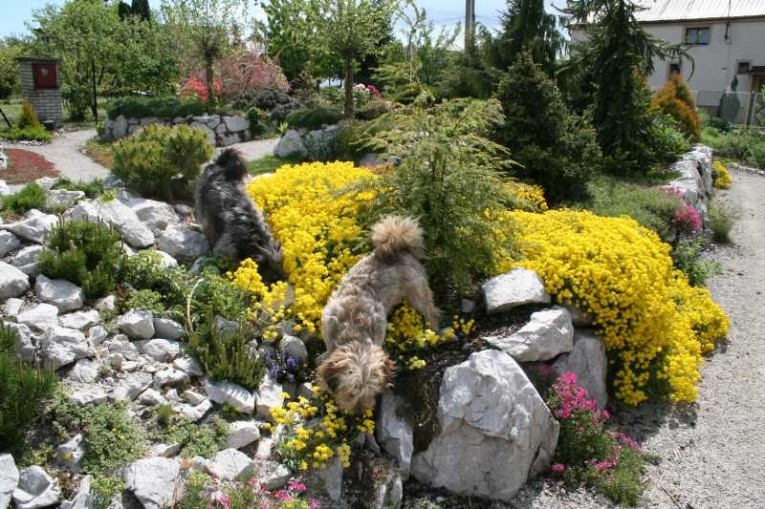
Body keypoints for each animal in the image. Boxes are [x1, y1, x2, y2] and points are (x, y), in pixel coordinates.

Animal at [317, 215, 439, 414]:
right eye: (351, 393)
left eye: (371, 392)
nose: (360, 413)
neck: (353, 329)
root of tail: (399, 248)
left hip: (417, 293)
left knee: (432, 311)